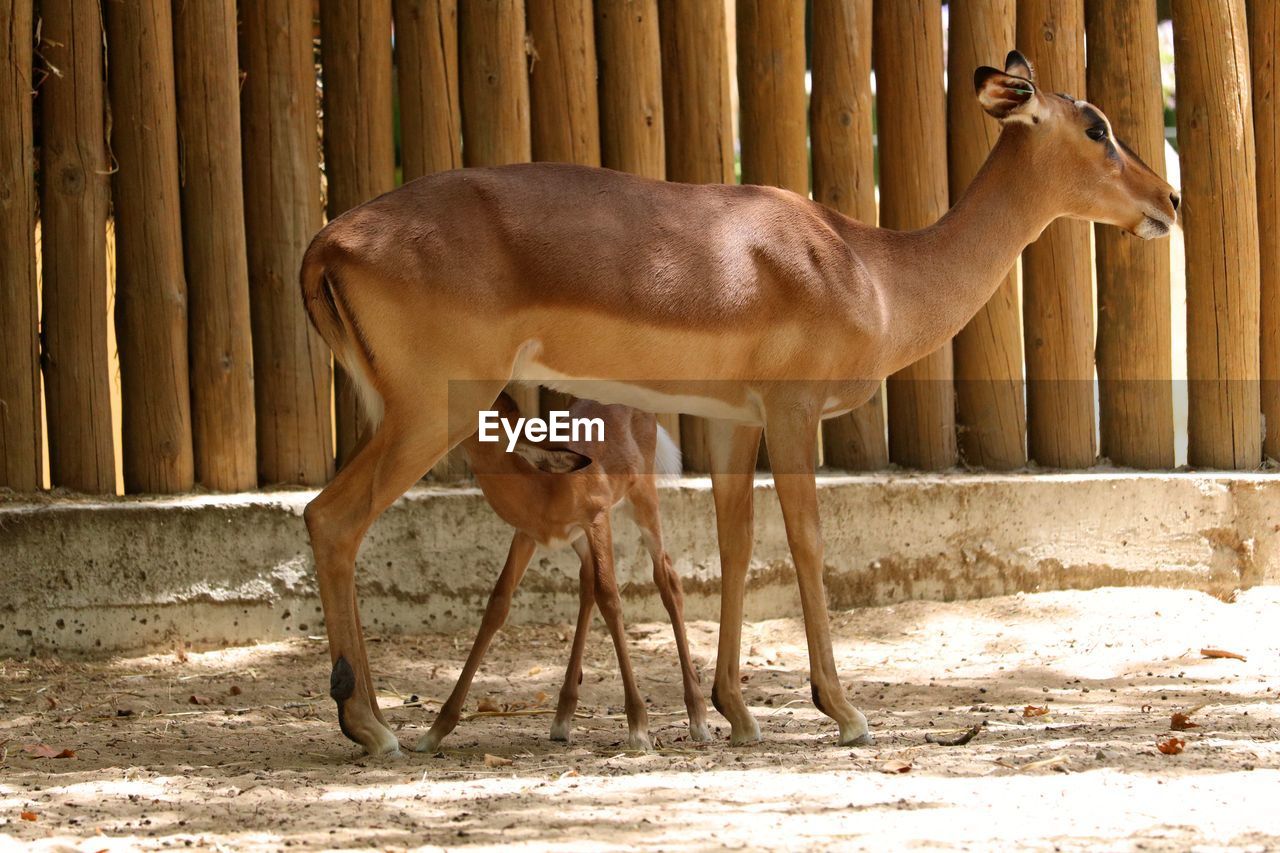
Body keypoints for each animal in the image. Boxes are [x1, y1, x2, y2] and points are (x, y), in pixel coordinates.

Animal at [412, 389, 706, 747]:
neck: (545, 486)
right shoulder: (527, 535)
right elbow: (498, 604)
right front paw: (436, 730)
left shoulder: (598, 519)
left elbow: (611, 599)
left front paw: (638, 727)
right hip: (581, 541)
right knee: (587, 585)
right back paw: (562, 718)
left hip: (643, 499)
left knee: (666, 578)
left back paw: (699, 719)